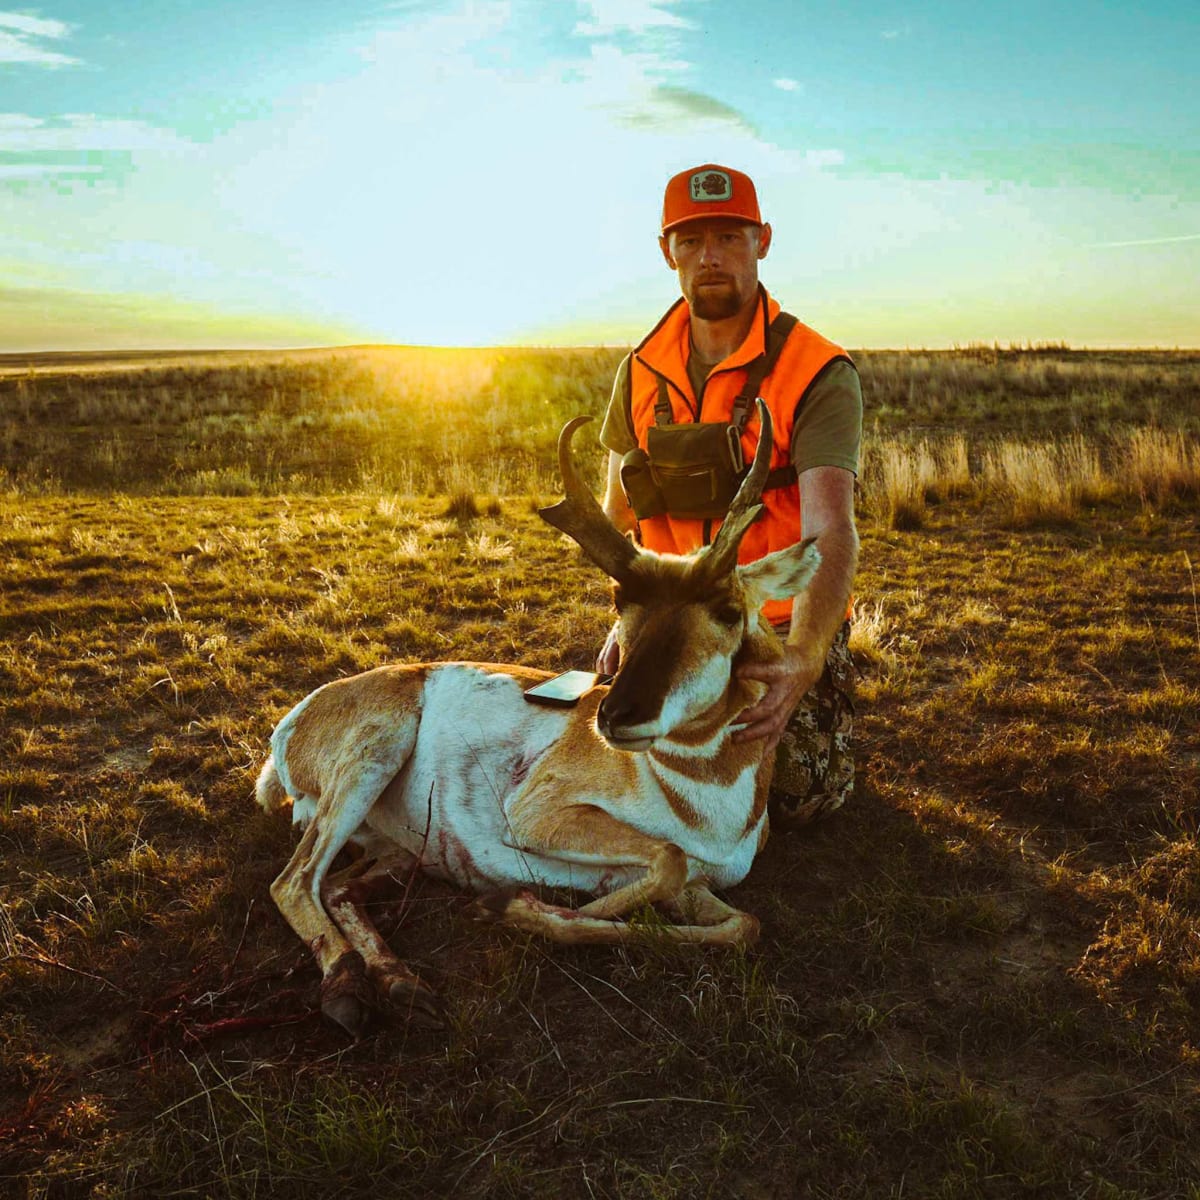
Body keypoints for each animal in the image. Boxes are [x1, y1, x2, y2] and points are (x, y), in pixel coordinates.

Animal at [252, 400, 816, 1032]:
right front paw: (506, 904)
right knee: (293, 882)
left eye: (727, 609)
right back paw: (346, 984)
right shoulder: (536, 814)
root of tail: (295, 720)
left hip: (395, 848)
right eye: (620, 599)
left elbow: (744, 925)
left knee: (340, 890)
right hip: (373, 756)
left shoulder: (696, 887)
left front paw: (512, 906)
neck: (704, 804)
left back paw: (400, 984)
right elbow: (667, 858)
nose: (613, 715)